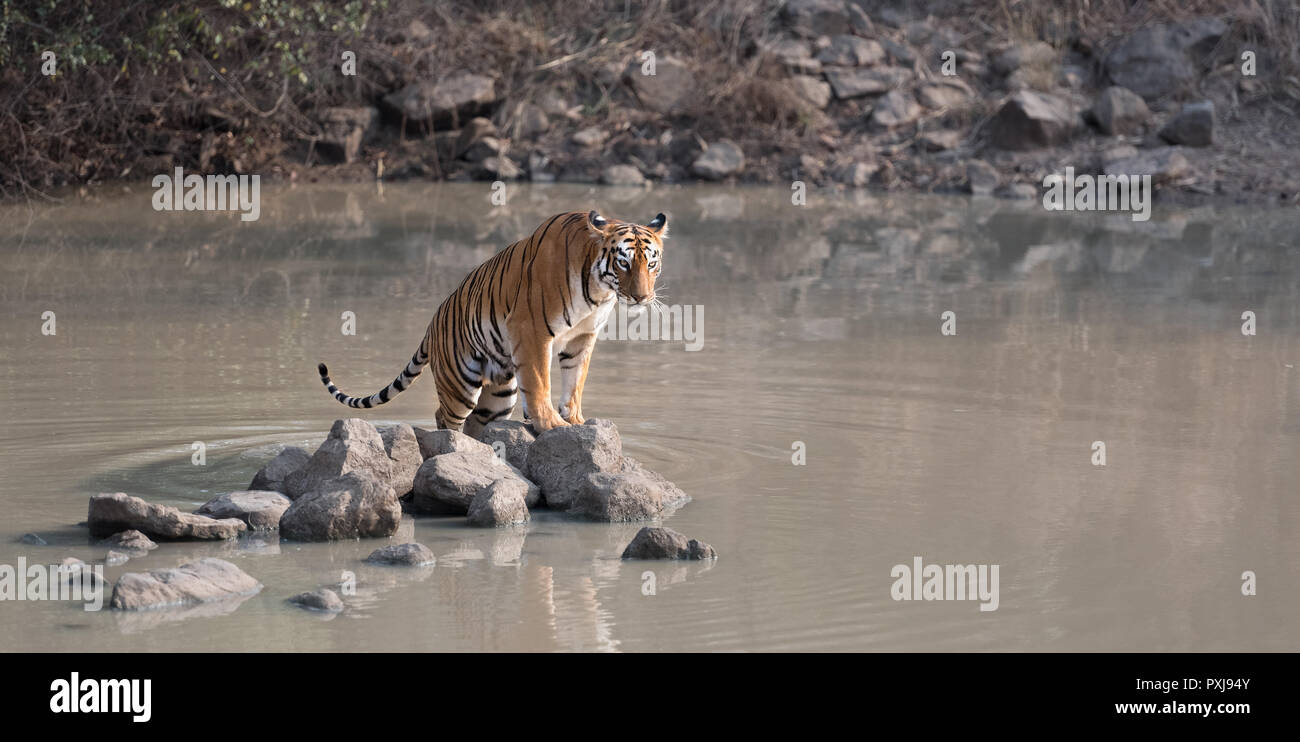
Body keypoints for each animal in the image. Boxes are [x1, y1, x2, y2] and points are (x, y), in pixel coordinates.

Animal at [312, 209, 660, 439]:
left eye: (652, 263)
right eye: (623, 262)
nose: (642, 297)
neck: (599, 289)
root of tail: (430, 327)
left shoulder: (582, 337)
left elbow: (575, 381)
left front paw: (574, 419)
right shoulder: (531, 330)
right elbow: (540, 383)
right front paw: (551, 424)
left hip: (499, 395)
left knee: (478, 422)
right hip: (460, 384)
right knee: (445, 417)